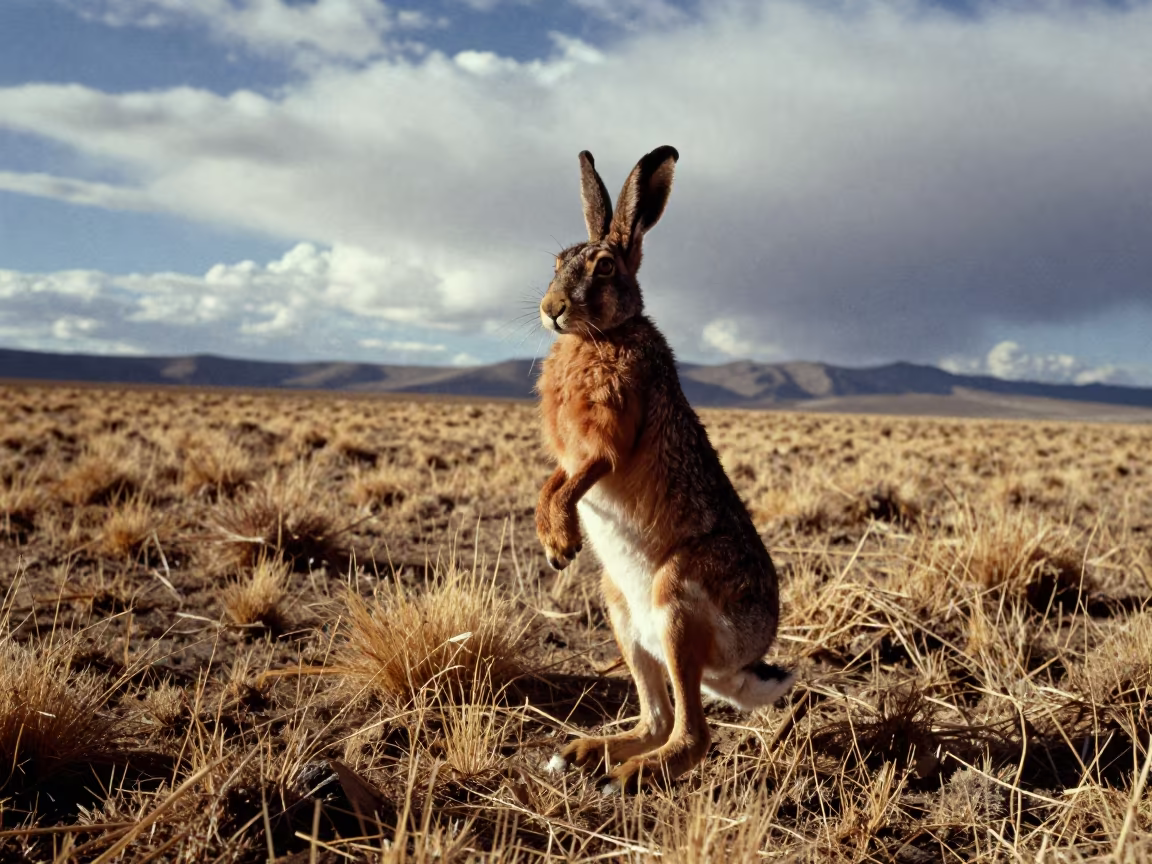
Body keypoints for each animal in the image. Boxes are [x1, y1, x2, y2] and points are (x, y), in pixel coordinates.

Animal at [535, 145, 794, 792]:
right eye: (556, 263)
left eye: (604, 268)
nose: (551, 310)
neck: (603, 333)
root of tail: (744, 661)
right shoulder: (568, 457)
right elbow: (553, 484)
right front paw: (554, 541)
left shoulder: (608, 441)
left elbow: (581, 478)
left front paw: (562, 543)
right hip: (623, 614)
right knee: (655, 718)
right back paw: (585, 754)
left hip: (677, 599)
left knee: (693, 736)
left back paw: (629, 776)